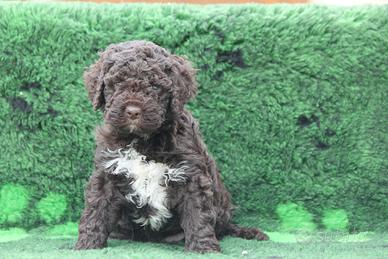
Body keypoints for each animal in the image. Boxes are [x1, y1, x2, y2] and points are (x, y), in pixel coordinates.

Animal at [76, 41, 270, 254]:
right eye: (117, 83)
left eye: (154, 86)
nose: (133, 111)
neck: (143, 141)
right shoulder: (108, 171)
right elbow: (97, 209)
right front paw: (87, 246)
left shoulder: (192, 175)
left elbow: (197, 214)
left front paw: (203, 249)